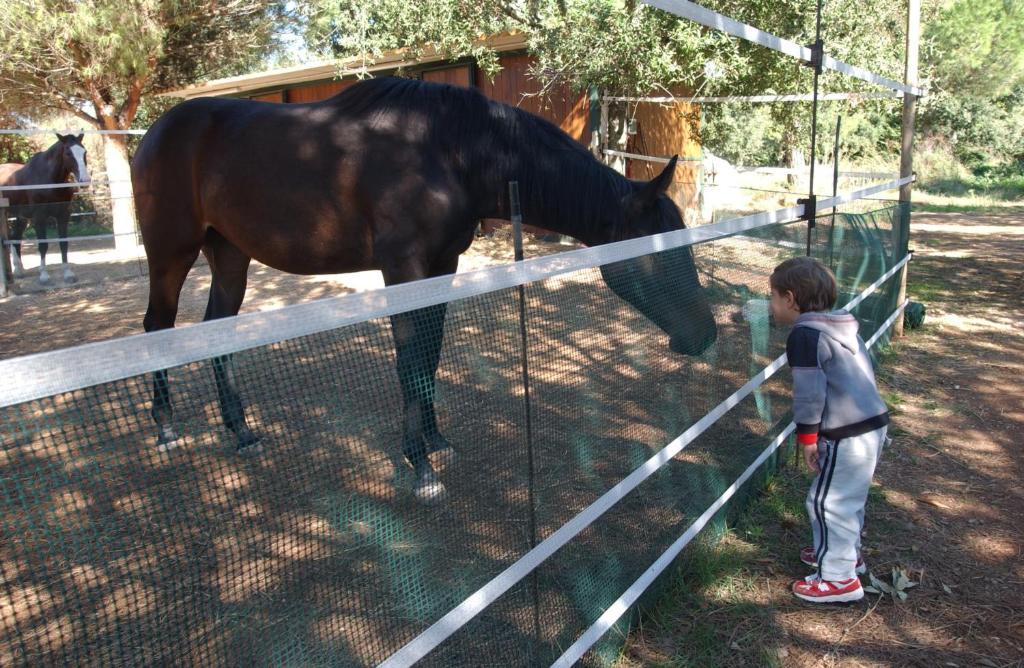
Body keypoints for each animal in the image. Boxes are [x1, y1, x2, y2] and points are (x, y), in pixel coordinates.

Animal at [0, 134, 90, 282]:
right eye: (68, 153)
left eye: (84, 152)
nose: (85, 180)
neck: (49, 180)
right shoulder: (39, 217)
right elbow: (43, 245)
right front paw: (44, 275)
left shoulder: (63, 215)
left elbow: (64, 244)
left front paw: (68, 273)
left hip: (21, 216)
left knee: (16, 237)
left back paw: (19, 270)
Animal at [132, 75, 716, 497]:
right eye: (660, 254)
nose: (705, 335)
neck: (452, 152)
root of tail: (157, 132)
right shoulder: (404, 269)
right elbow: (410, 356)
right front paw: (419, 467)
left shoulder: (442, 265)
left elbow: (429, 354)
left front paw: (436, 442)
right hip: (171, 254)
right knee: (156, 326)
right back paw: (164, 427)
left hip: (230, 255)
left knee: (216, 332)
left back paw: (240, 431)